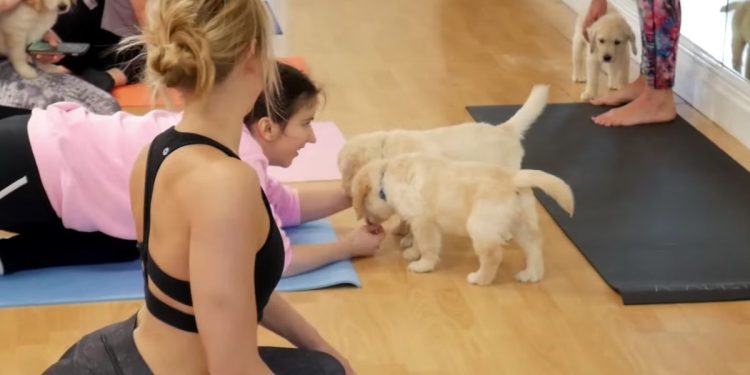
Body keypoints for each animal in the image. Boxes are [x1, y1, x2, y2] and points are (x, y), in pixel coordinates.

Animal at [352, 154, 576, 286]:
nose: (369, 224)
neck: (385, 179)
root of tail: (514, 178)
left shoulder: (424, 221)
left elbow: (427, 247)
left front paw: (423, 265)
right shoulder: (418, 221)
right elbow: (417, 241)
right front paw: (412, 253)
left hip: (479, 225)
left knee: (493, 255)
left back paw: (480, 278)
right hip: (521, 224)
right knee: (534, 245)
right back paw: (531, 274)